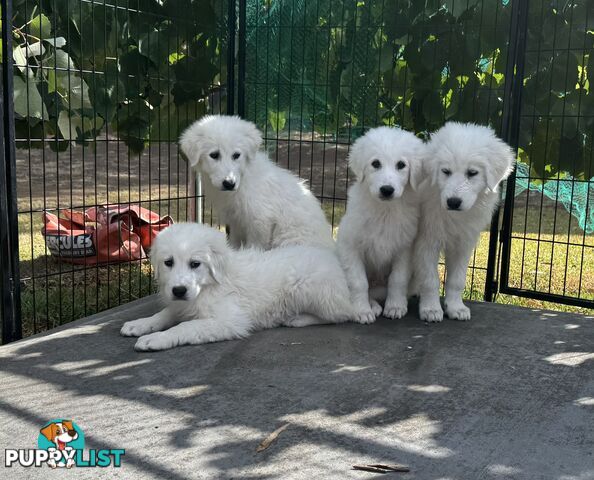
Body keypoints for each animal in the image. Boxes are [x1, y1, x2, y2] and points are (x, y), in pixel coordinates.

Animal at [119, 223, 352, 350]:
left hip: (309, 287)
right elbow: (166, 313)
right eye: (168, 262)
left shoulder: (230, 321)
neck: (209, 286)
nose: (178, 290)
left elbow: (186, 326)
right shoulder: (183, 304)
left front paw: (156, 339)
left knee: (340, 314)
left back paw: (298, 319)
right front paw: (141, 324)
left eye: (195, 264)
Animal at [178, 116, 332, 249]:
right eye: (214, 155)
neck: (243, 177)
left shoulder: (260, 221)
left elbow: (254, 248)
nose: (229, 183)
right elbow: (234, 244)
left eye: (236, 155)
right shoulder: (236, 223)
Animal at [336, 125, 424, 324]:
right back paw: (372, 306)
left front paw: (395, 306)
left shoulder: (405, 249)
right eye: (376, 164)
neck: (385, 211)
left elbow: (397, 280)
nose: (387, 190)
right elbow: (359, 282)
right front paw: (361, 311)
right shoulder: (350, 246)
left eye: (401, 165)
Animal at [412, 122, 512, 322]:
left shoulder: (463, 243)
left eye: (472, 173)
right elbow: (430, 279)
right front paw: (431, 309)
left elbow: (457, 280)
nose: (453, 202)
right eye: (446, 171)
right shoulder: (426, 241)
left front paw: (456, 307)